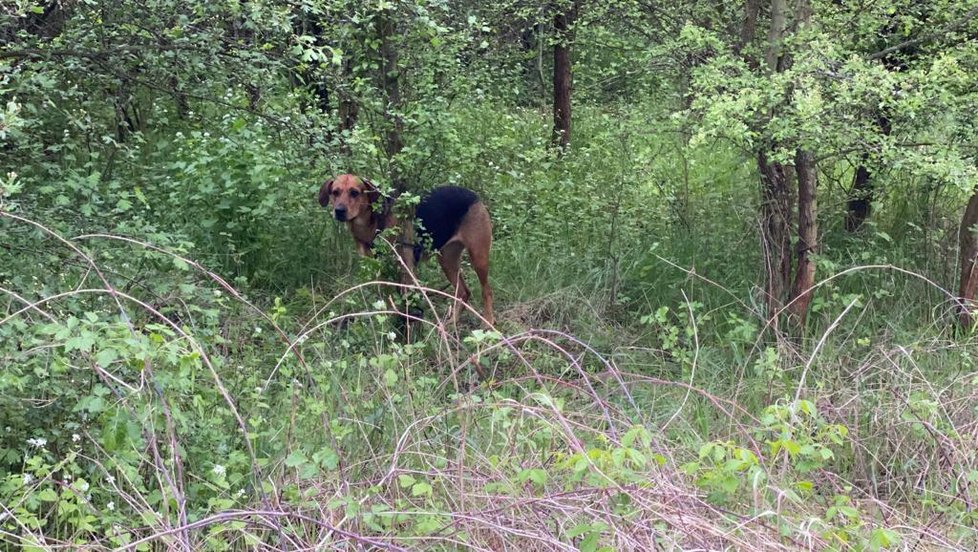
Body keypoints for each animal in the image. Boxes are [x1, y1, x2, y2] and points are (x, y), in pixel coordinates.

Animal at [316, 175, 492, 326]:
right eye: (335, 192)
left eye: (354, 192)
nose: (339, 211)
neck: (374, 223)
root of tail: (472, 194)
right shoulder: (379, 270)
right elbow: (387, 301)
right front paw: (388, 323)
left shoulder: (405, 268)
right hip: (447, 260)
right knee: (463, 292)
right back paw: (451, 323)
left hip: (478, 258)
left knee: (487, 292)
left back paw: (488, 323)